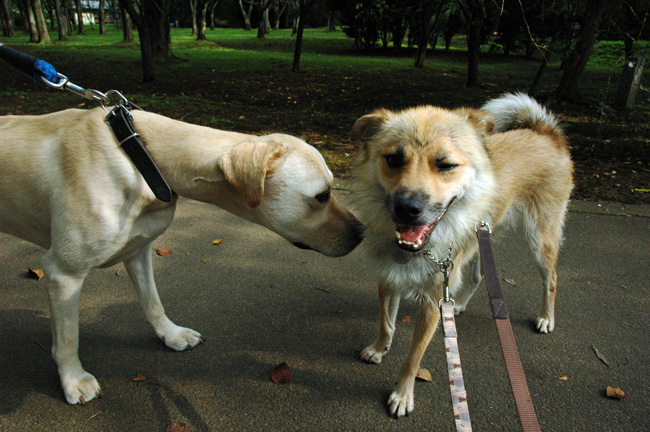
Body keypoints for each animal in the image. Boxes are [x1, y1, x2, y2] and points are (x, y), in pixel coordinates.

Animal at [0, 108, 360, 404]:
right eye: (322, 196)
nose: (361, 233)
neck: (143, 156)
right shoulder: (63, 273)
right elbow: (68, 338)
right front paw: (73, 380)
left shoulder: (138, 251)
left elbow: (153, 302)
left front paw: (171, 335)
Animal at [350, 93, 572, 416]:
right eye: (394, 159)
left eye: (445, 165)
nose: (407, 208)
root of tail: (545, 133)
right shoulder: (390, 279)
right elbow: (386, 322)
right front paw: (380, 348)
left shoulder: (433, 302)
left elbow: (413, 357)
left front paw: (403, 394)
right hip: (480, 240)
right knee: (478, 277)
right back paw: (461, 304)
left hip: (540, 240)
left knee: (551, 279)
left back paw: (546, 317)